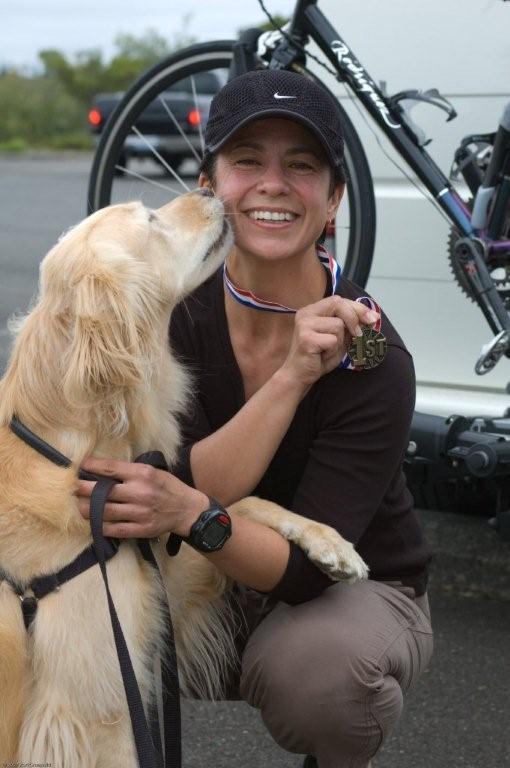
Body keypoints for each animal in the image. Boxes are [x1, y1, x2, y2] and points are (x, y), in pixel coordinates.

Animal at [0, 189, 366, 764]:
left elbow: (231, 503)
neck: (66, 456)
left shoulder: (156, 580)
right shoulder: (91, 709)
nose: (211, 190)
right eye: (150, 220)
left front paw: (330, 543)